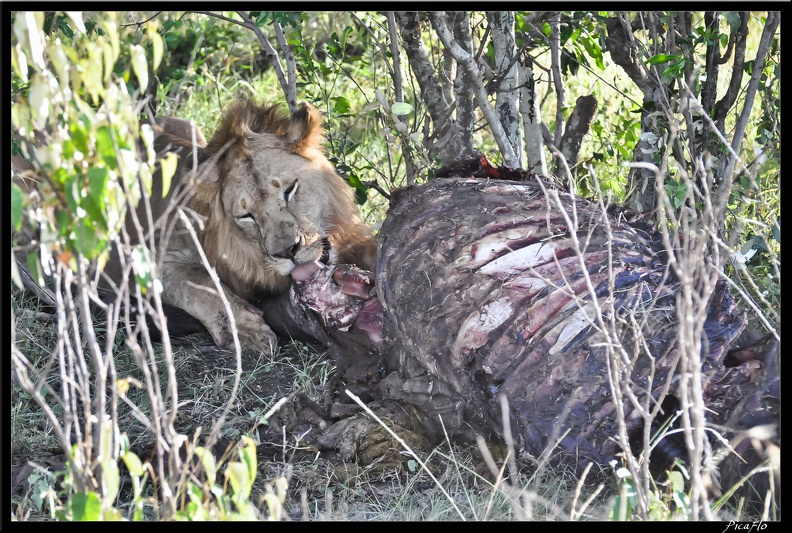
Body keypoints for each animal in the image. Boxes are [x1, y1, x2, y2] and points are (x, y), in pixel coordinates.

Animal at [103, 98, 376, 354]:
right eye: (247, 216)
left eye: (289, 190)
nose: (288, 251)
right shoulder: (149, 260)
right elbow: (204, 286)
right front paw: (246, 331)